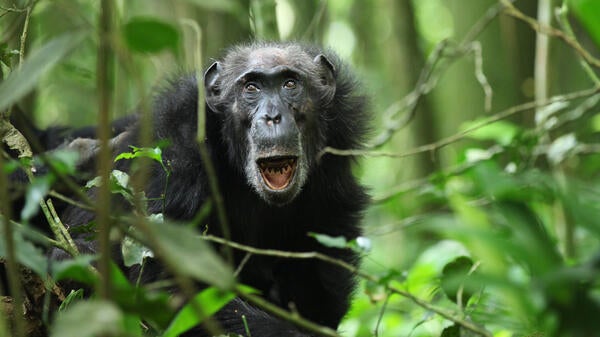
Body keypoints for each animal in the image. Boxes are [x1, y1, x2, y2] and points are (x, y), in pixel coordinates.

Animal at [34, 42, 370, 336]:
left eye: (290, 84)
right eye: (251, 88)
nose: (273, 116)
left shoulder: (333, 172)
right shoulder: (177, 152)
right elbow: (169, 283)